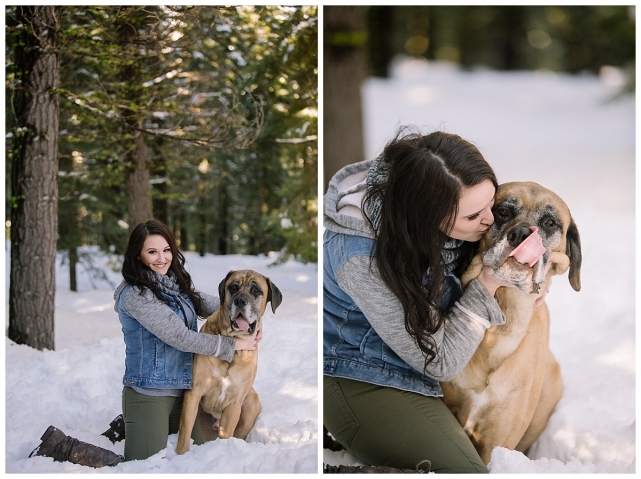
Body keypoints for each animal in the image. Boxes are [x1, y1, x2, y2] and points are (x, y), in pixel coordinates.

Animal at [176, 268, 284, 456]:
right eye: (233, 287)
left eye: (256, 290)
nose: (240, 301)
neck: (233, 348)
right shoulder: (194, 392)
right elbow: (184, 432)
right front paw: (181, 455)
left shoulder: (235, 403)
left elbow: (226, 434)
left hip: (251, 403)